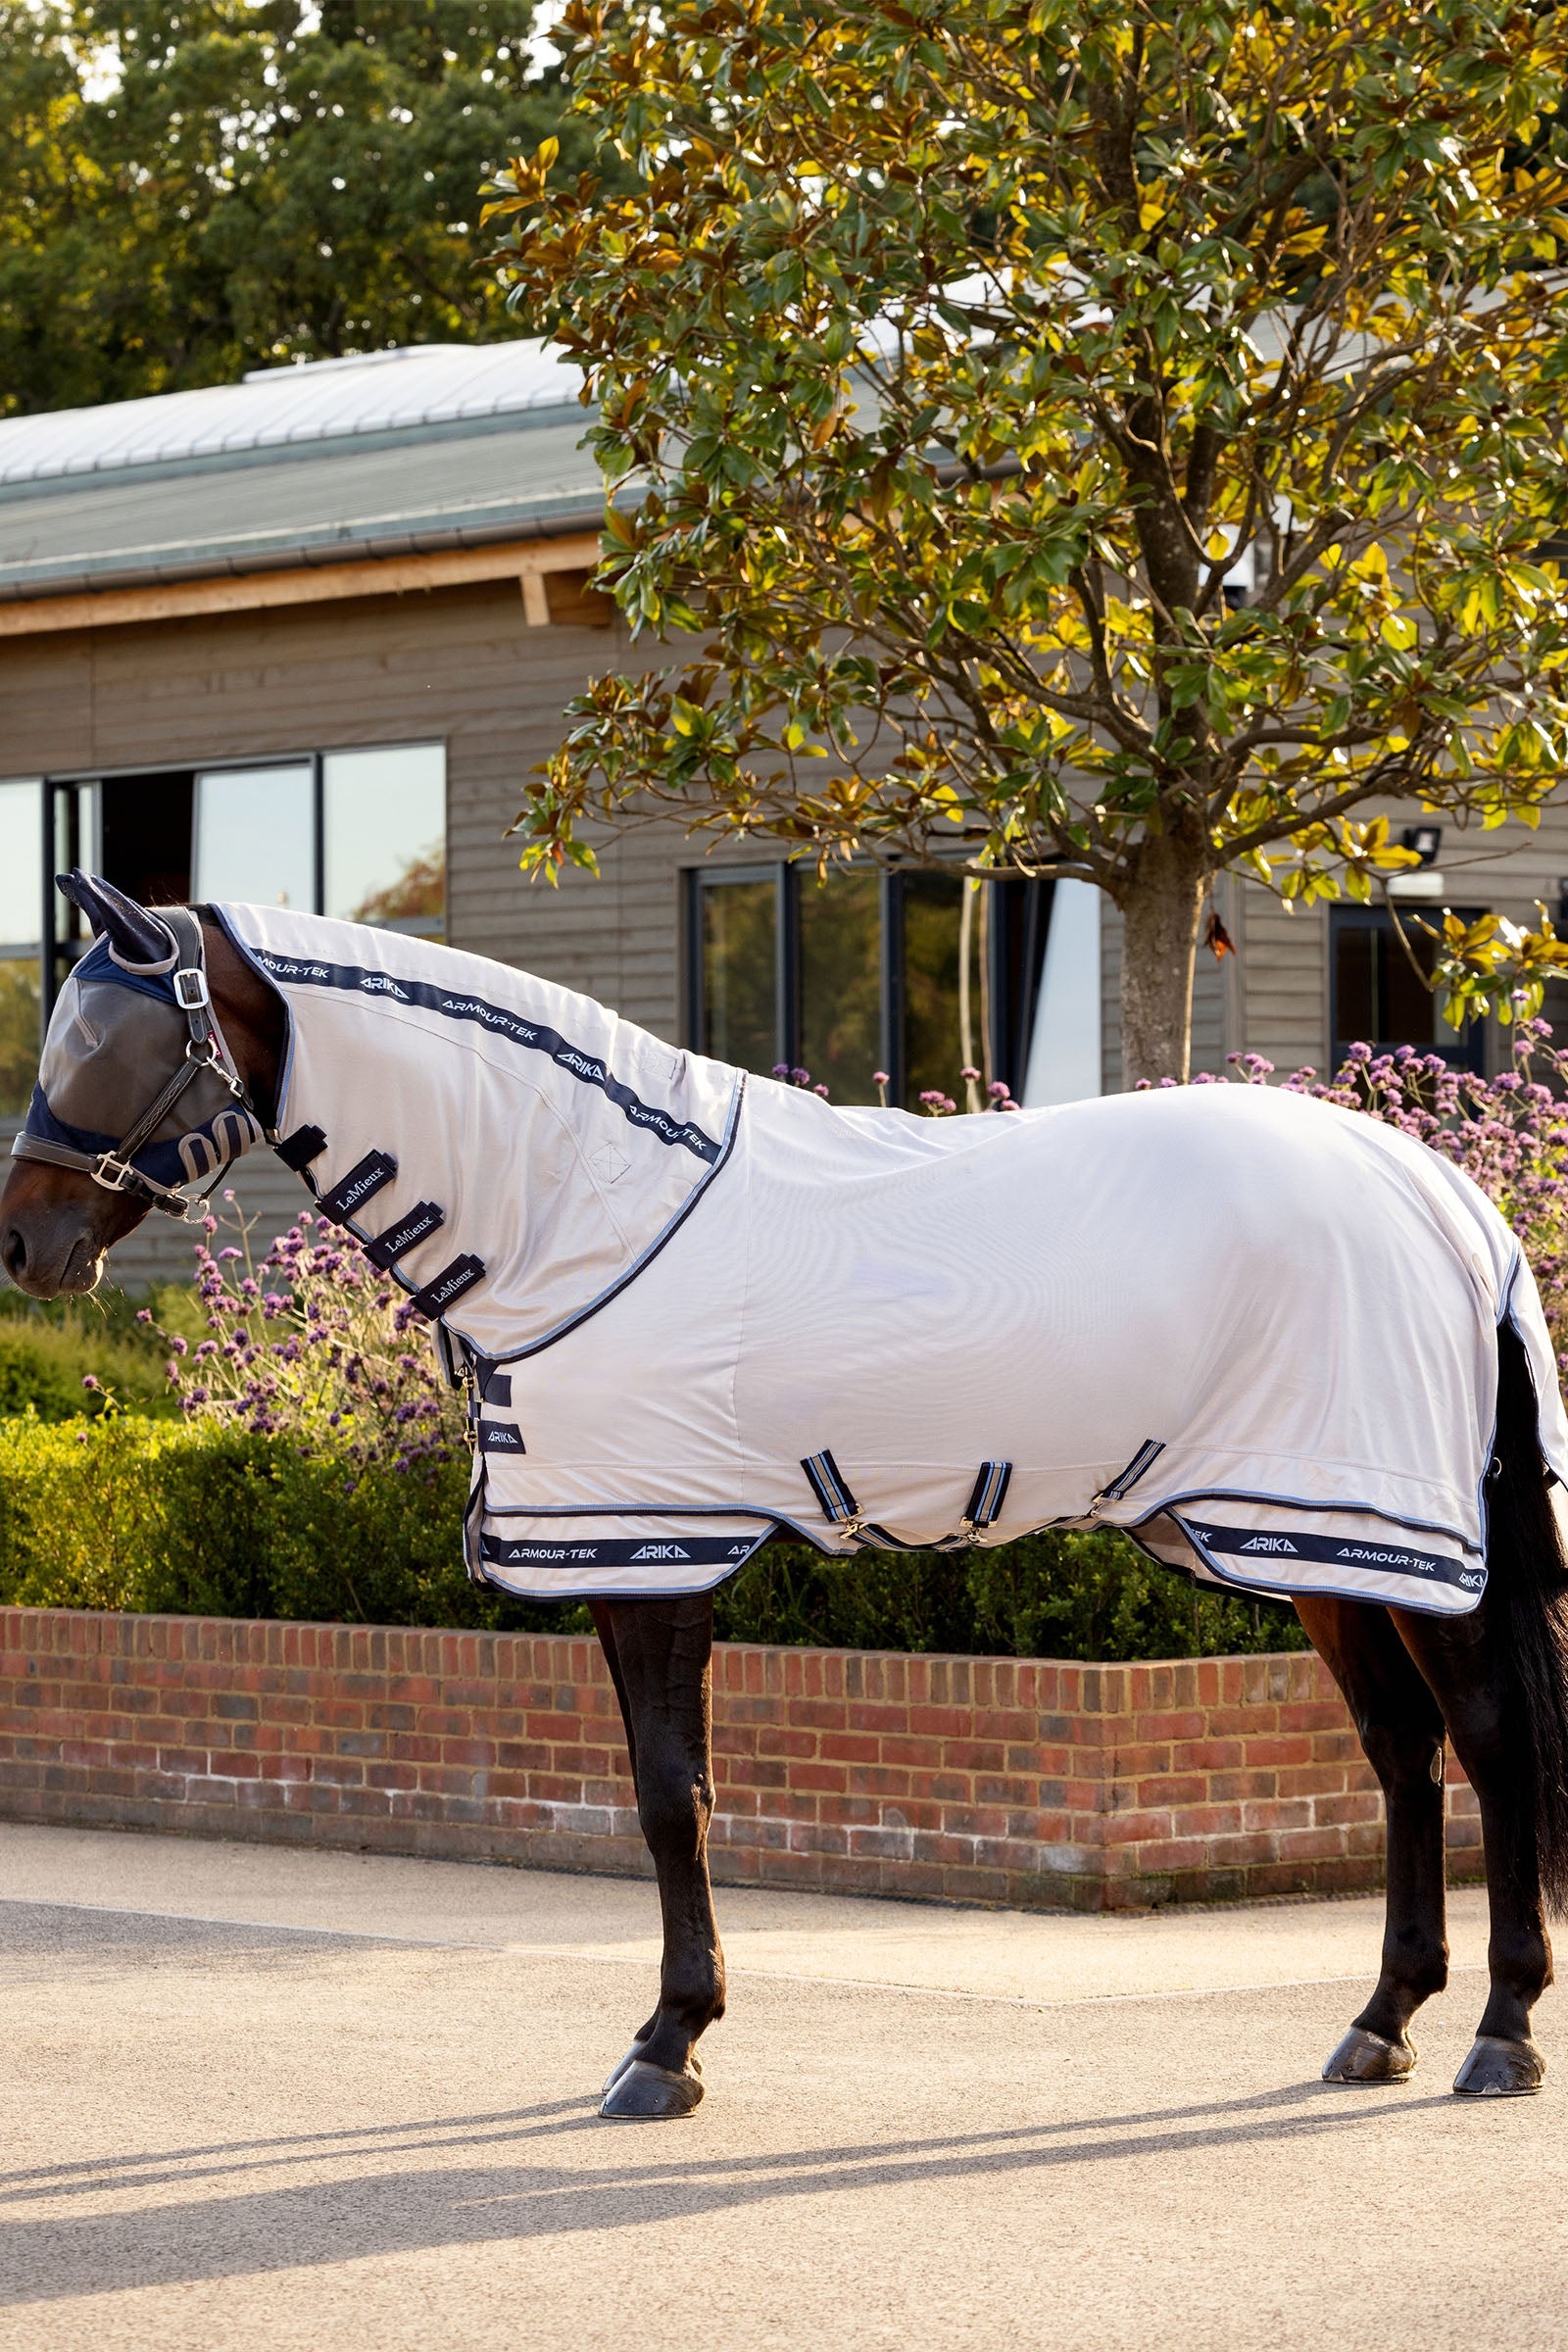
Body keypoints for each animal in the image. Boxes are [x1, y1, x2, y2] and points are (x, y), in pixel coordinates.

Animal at [4, 869, 1568, 2119]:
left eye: (109, 1042)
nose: (24, 1243)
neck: (585, 1215)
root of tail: (1448, 1200)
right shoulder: (633, 1555)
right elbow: (670, 1794)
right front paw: (673, 2033)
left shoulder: (652, 1551)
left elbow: (668, 1802)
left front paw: (666, 2050)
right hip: (1314, 1548)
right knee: (1402, 1756)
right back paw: (1380, 2024)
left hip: (1397, 1545)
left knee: (1491, 1745)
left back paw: (1499, 2035)